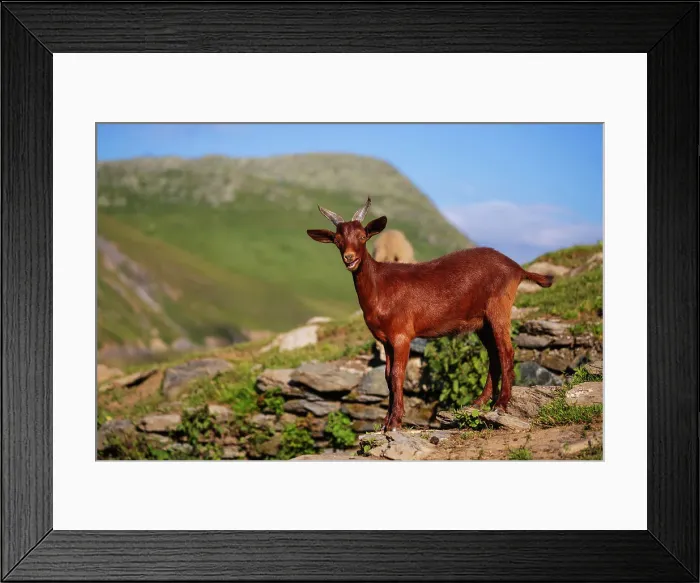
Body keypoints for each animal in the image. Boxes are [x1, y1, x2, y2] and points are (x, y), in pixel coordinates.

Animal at [307, 198, 553, 432]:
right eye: (338, 240)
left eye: (362, 236)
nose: (349, 258)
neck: (380, 287)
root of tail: (517, 268)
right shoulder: (385, 340)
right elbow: (386, 376)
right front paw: (385, 422)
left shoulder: (402, 335)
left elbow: (397, 374)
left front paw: (395, 422)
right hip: (481, 322)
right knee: (494, 354)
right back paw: (478, 403)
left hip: (499, 308)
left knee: (506, 352)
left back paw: (500, 404)